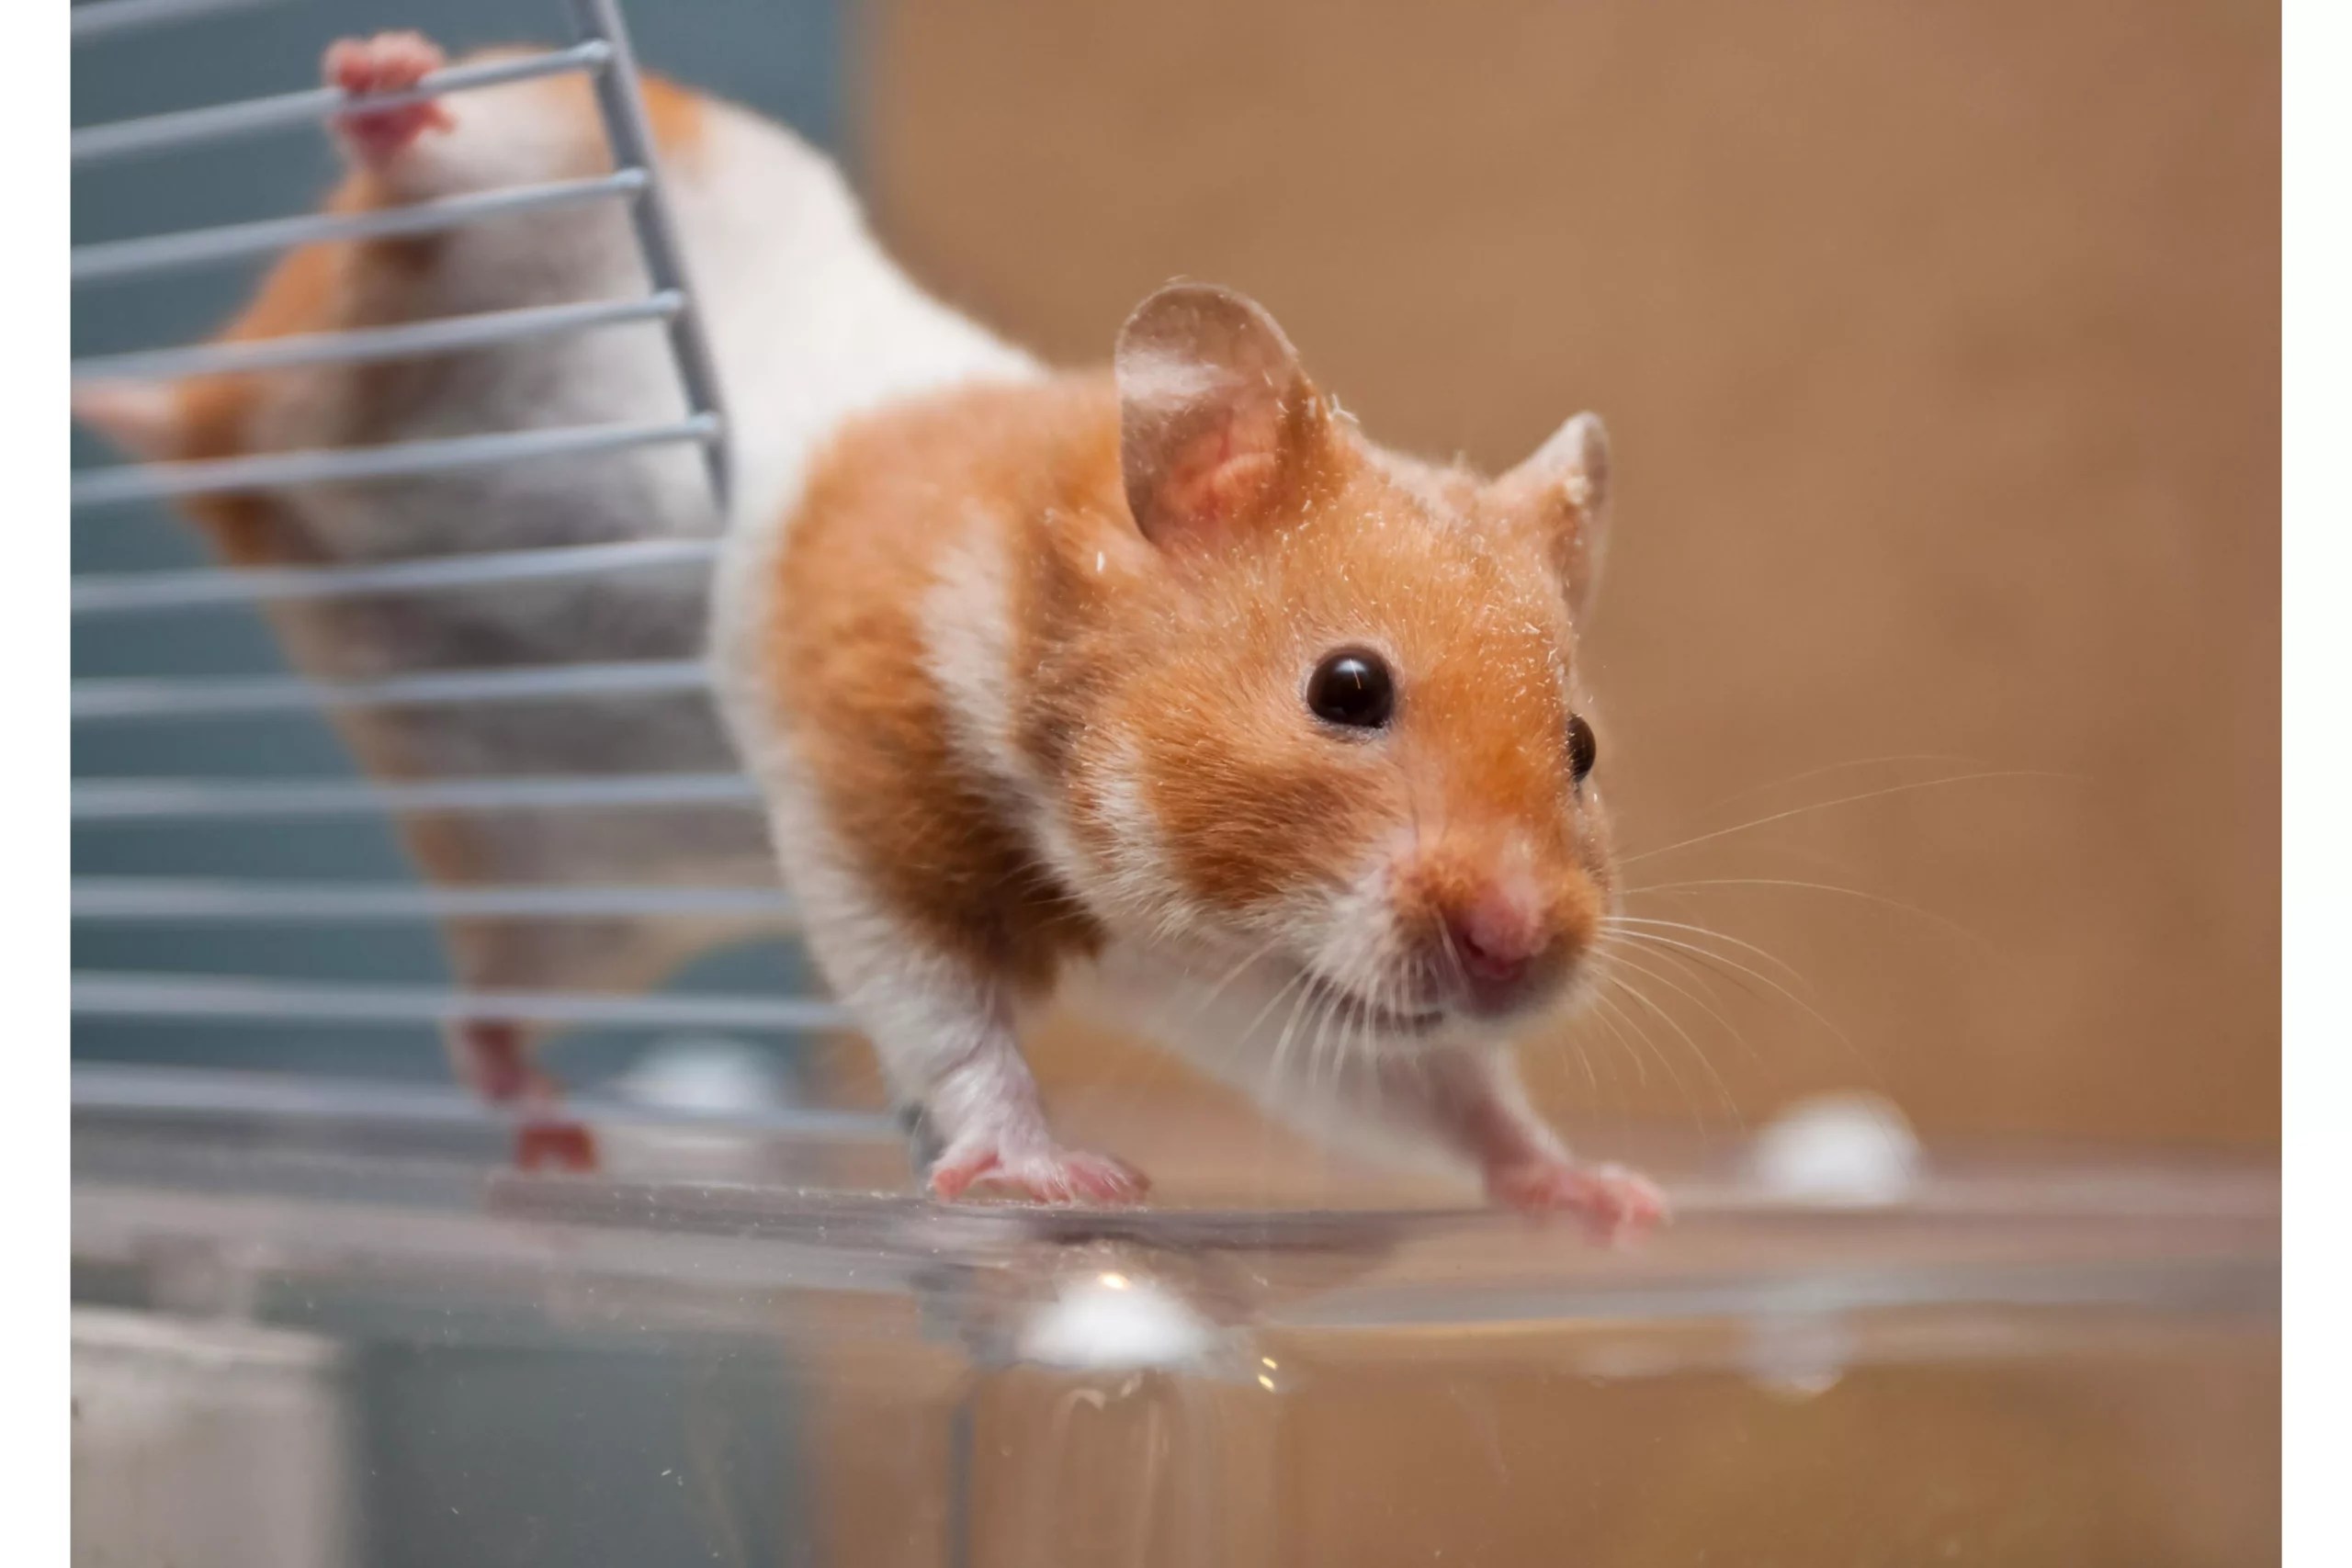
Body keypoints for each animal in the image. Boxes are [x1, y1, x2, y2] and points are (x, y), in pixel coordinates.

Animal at [73, 33, 1030, 1159]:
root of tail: (225, 427)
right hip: (528, 172)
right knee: (416, 182)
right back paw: (385, 79)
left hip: (579, 916)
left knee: (477, 1017)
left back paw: (549, 1131)